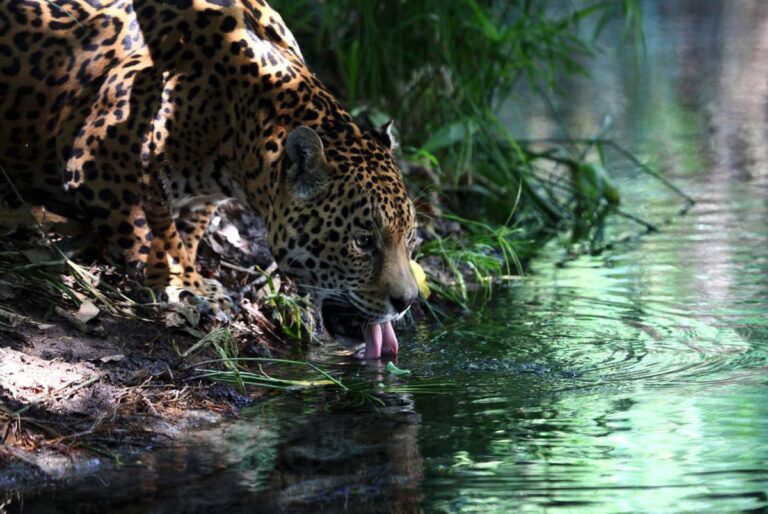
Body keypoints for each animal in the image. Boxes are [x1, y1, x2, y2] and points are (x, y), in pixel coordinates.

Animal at [0, 0, 418, 358]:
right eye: (362, 242)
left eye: (410, 238)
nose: (408, 302)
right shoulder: (95, 159)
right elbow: (153, 231)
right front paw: (184, 283)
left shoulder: (205, 196)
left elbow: (186, 229)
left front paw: (187, 269)